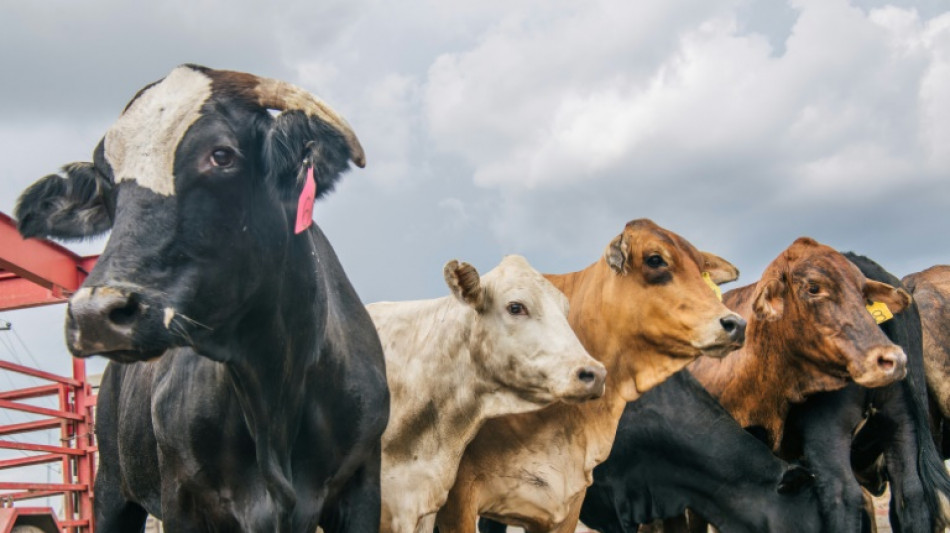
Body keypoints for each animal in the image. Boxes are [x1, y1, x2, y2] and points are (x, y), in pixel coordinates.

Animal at [14, 64, 388, 528]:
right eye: (105, 181)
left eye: (222, 155)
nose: (95, 313)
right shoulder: (182, 497)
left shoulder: (362, 484)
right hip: (111, 489)